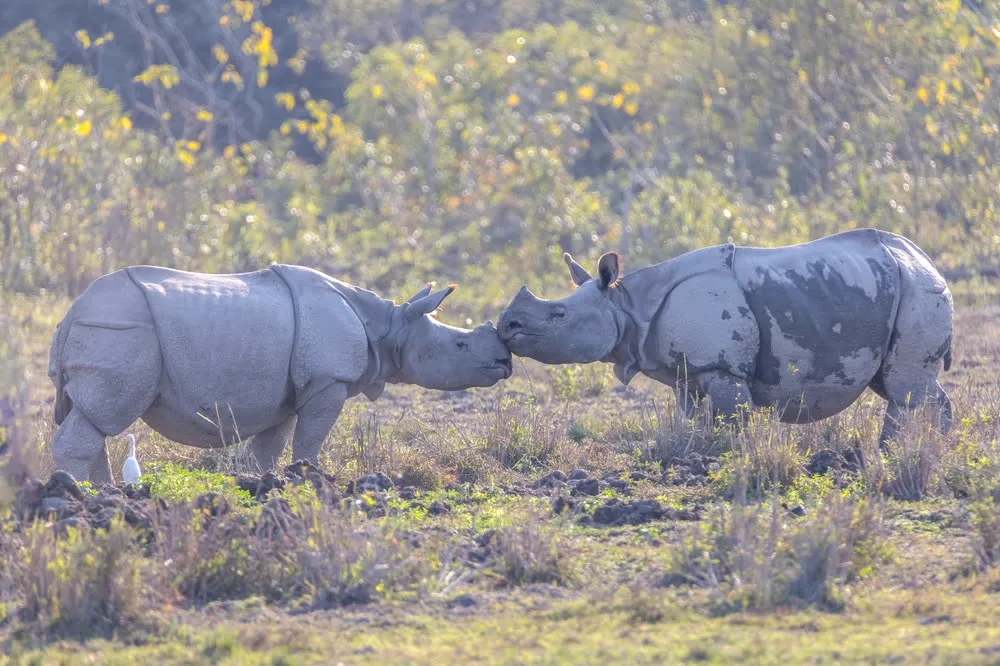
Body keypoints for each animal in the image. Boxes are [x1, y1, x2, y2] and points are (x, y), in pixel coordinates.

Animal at [48, 264, 513, 482]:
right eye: (460, 346)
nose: (505, 361)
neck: (388, 326)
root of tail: (70, 314)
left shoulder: (286, 393)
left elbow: (269, 447)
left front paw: (263, 482)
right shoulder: (329, 379)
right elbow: (311, 437)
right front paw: (311, 476)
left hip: (110, 328)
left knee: (96, 420)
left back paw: (102, 492)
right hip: (123, 330)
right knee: (104, 416)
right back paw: (78, 494)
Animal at [498, 229, 954, 446]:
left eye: (559, 314)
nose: (505, 326)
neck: (626, 304)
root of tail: (921, 256)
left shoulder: (721, 366)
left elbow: (732, 420)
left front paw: (730, 456)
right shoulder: (686, 372)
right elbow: (691, 416)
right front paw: (696, 449)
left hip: (918, 287)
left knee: (904, 386)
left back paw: (897, 450)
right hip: (890, 286)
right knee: (899, 384)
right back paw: (920, 446)